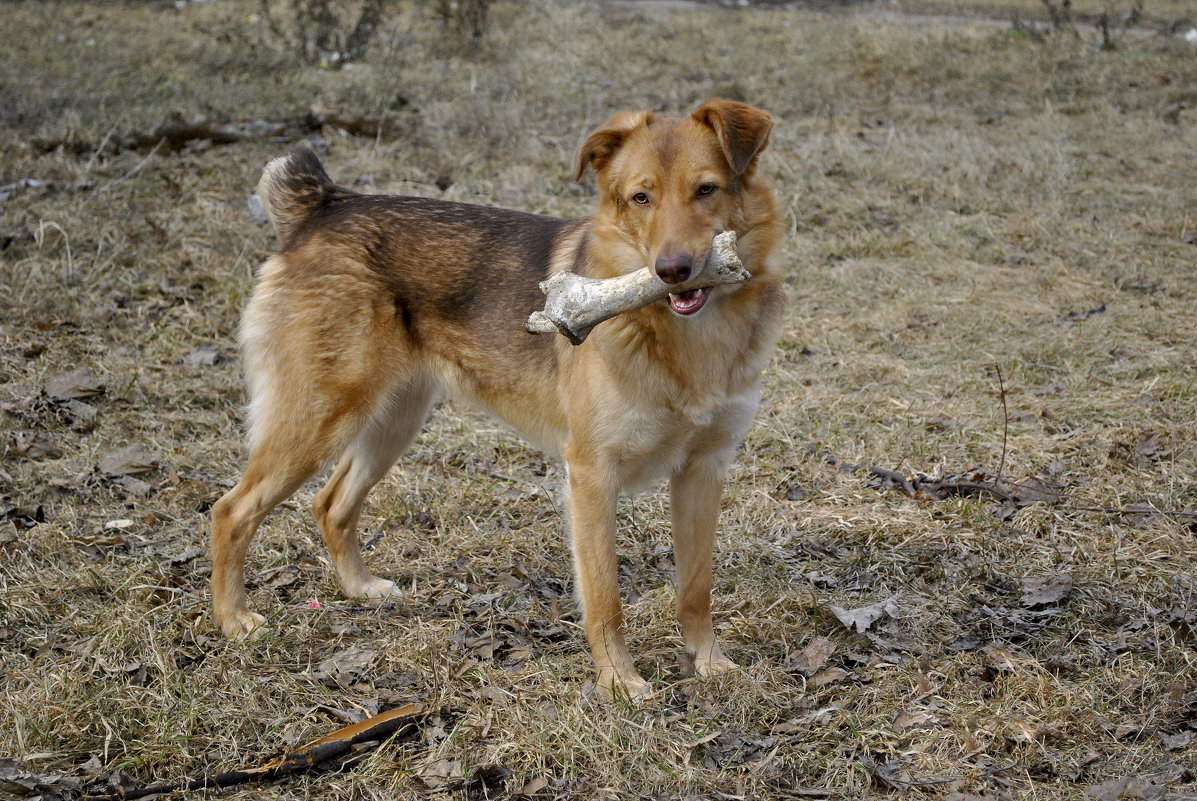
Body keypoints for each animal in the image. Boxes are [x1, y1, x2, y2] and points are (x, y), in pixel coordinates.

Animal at [210, 99, 790, 699]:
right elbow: (604, 600)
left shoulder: (704, 471)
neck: (692, 338)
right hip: (318, 420)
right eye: (640, 198)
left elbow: (696, 588)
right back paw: (234, 621)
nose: (671, 271)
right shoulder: (591, 476)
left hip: (392, 423)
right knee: (231, 510)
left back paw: (360, 588)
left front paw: (709, 662)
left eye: (707, 190)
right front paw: (619, 683)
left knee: (332, 504)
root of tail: (324, 204)